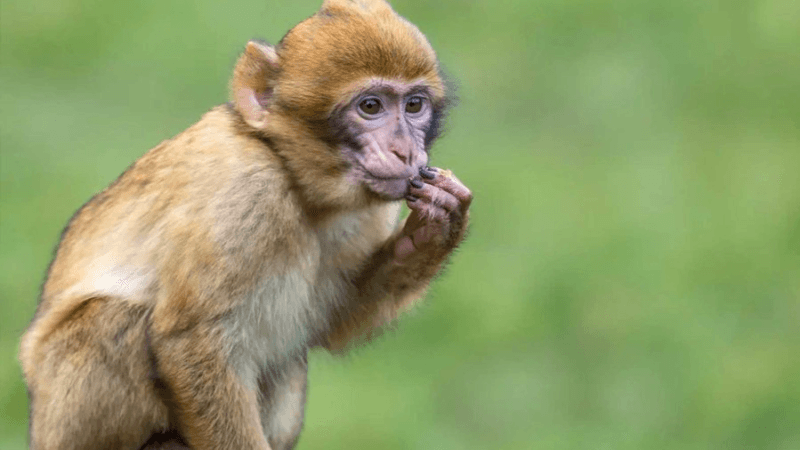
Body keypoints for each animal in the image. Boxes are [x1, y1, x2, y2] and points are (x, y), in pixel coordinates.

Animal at [18, 0, 472, 450]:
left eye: (414, 105)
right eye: (371, 106)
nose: (405, 151)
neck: (294, 177)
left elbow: (332, 322)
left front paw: (433, 231)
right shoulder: (246, 194)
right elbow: (192, 340)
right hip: (65, 420)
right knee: (111, 316)